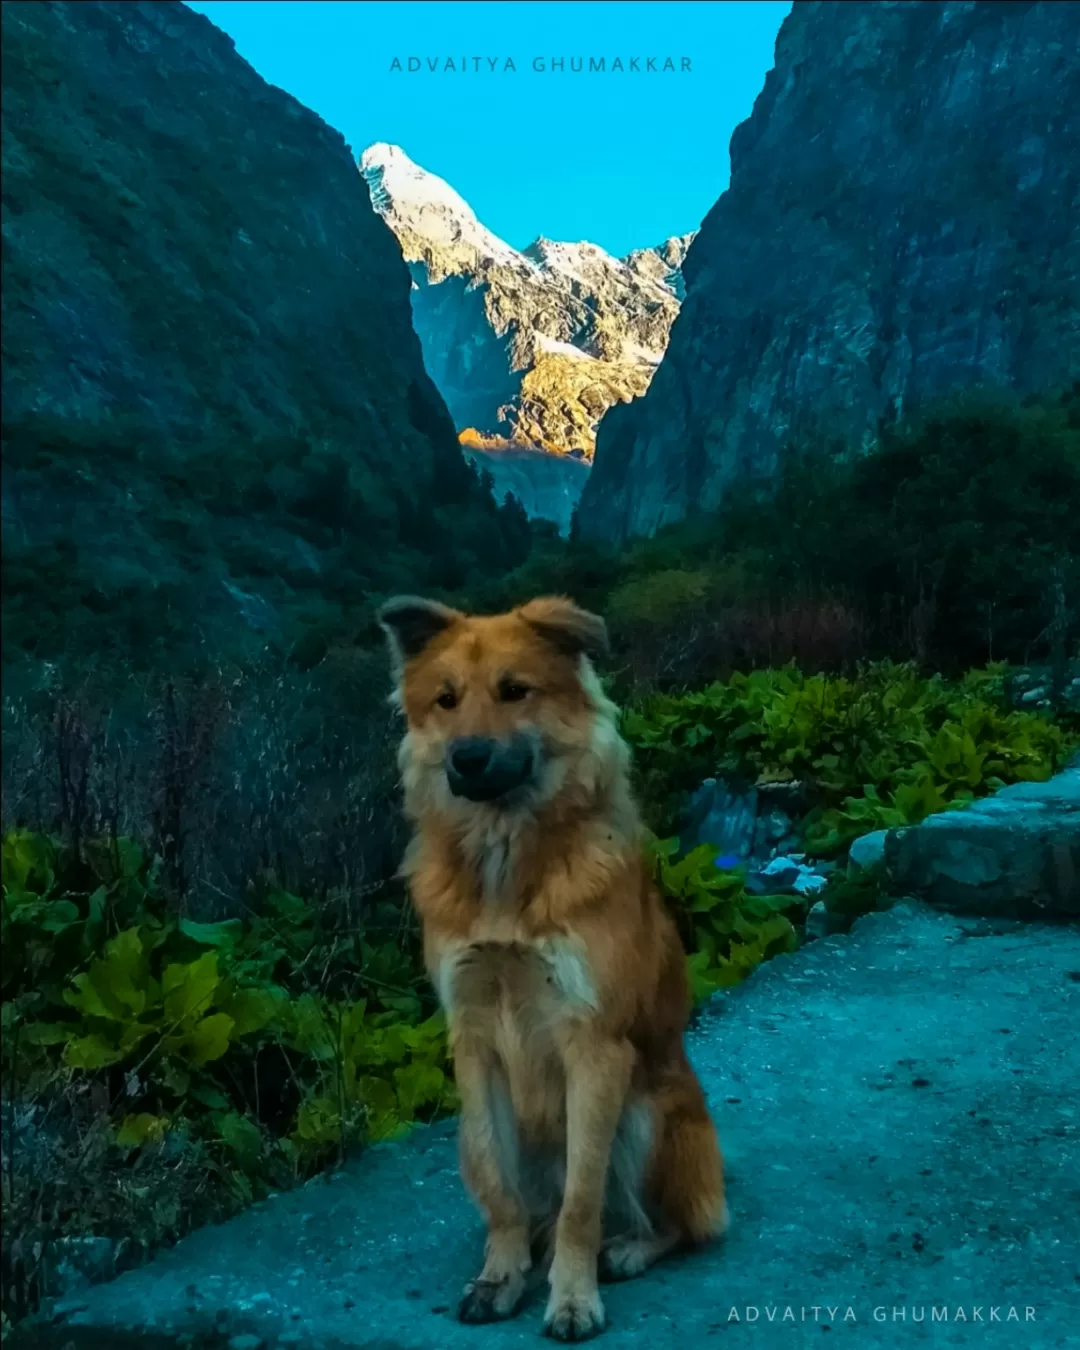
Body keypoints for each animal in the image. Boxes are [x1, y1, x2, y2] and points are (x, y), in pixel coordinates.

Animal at [380, 599, 723, 1339]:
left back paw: (627, 1249)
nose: (468, 757)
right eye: (446, 700)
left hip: (649, 1114)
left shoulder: (593, 1044)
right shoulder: (472, 1040)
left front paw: (572, 1298)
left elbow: (580, 1200)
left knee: (680, 1224)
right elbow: (498, 1185)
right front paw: (500, 1276)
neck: (505, 863)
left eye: (515, 691)